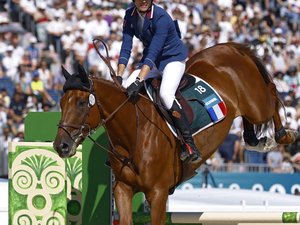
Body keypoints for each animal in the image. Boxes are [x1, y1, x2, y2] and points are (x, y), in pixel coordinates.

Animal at [53, 42, 298, 225]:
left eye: (82, 103)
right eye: (61, 102)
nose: (61, 146)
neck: (134, 134)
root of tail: (227, 47)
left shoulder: (158, 193)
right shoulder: (123, 189)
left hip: (256, 105)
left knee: (271, 93)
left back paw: (284, 135)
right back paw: (253, 138)